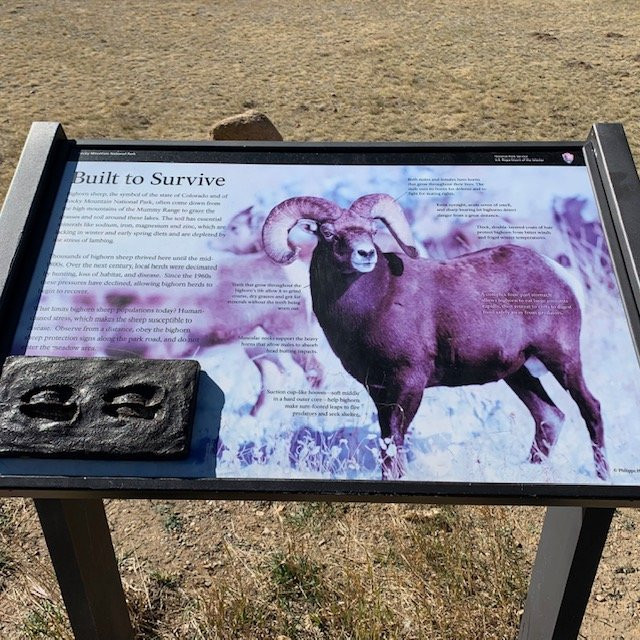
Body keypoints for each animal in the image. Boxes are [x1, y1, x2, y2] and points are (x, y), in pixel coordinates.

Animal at [262, 193, 608, 480]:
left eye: (372, 231)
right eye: (328, 233)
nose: (365, 254)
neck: (377, 300)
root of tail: (560, 276)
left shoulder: (409, 382)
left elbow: (396, 441)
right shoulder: (379, 390)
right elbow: (387, 440)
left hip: (562, 359)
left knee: (590, 407)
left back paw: (602, 475)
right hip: (519, 373)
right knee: (550, 417)